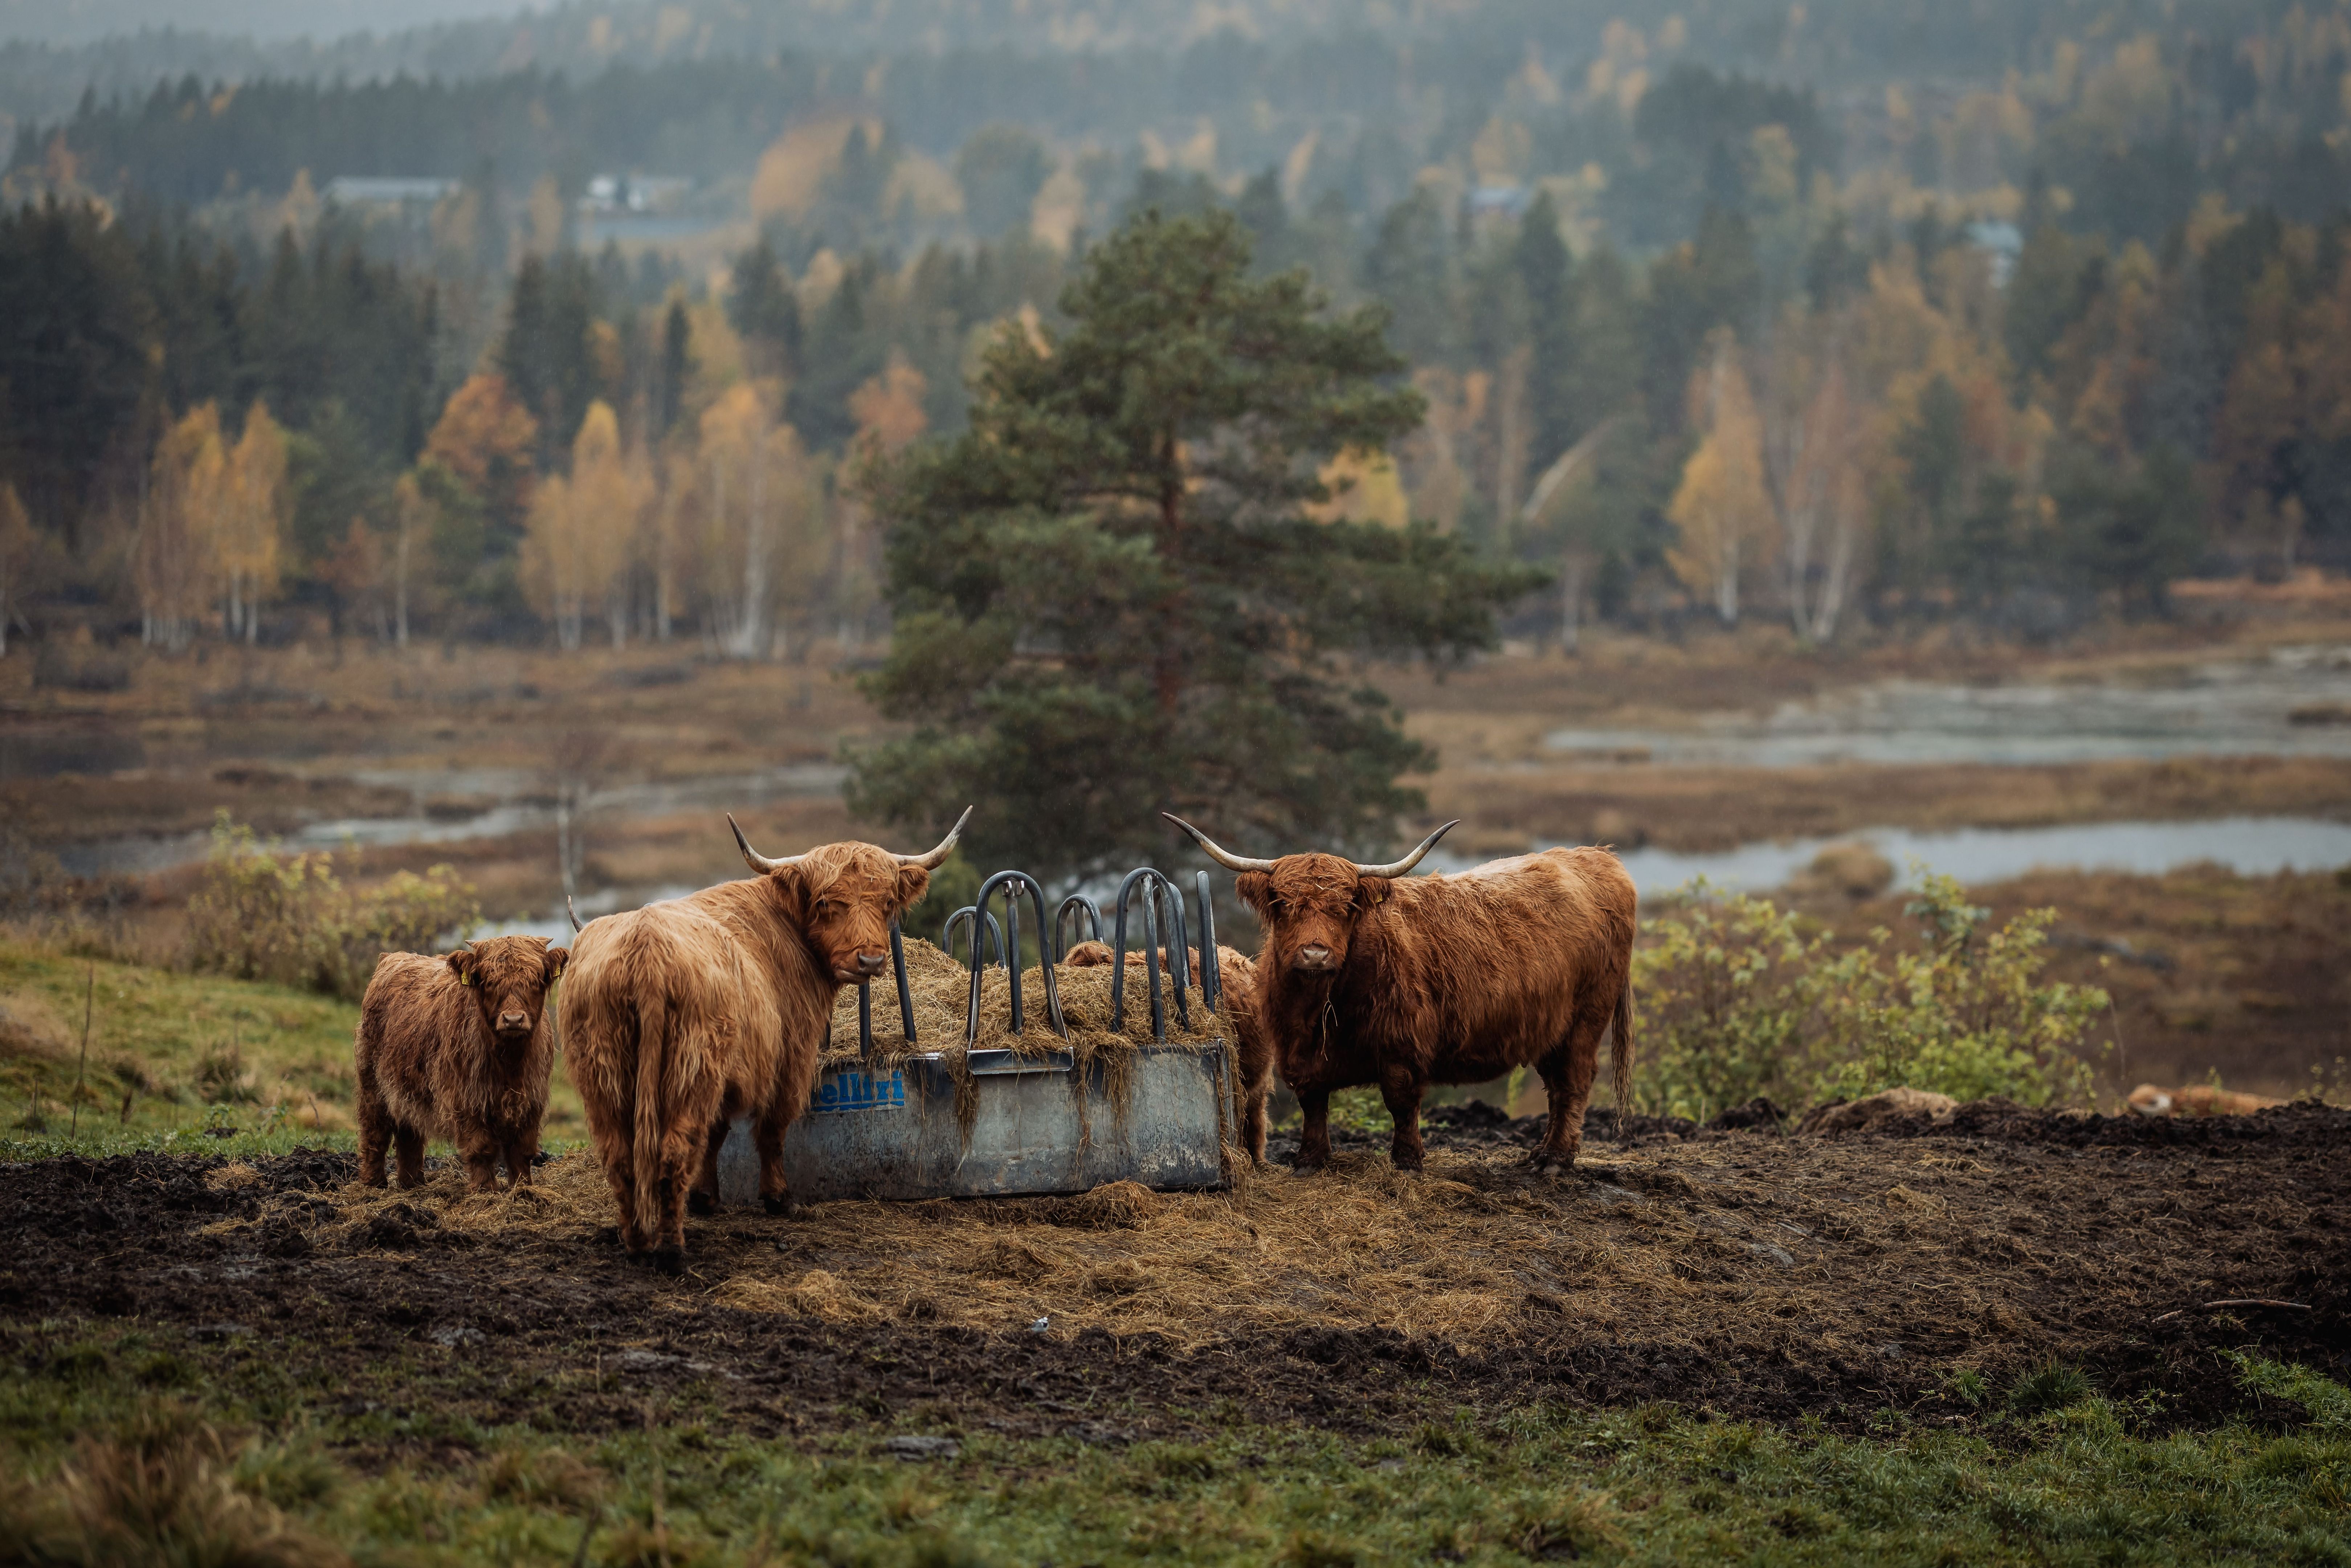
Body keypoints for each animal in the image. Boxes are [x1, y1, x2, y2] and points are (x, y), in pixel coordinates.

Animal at [354, 935, 569, 1193]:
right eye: (489, 981)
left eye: (536, 980)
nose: (513, 1020)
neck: (509, 1062)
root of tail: (394, 957)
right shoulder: (468, 1100)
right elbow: (481, 1148)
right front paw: (486, 1190)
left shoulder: (531, 1101)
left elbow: (521, 1151)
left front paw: (523, 1188)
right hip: (372, 1083)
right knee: (374, 1131)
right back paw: (373, 1184)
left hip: (407, 1087)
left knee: (409, 1133)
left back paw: (413, 1184)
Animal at [559, 810, 966, 1272]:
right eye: (826, 903)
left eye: (887, 903)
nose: (871, 959)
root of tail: (646, 948)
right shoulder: (791, 1053)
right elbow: (773, 1127)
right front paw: (777, 1198)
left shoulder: (730, 1072)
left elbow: (719, 1132)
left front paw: (706, 1197)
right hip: (690, 1071)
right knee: (673, 1152)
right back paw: (671, 1249)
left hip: (604, 1076)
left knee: (621, 1156)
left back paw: (635, 1242)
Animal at [1164, 814, 1637, 1174]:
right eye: (1284, 904)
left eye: (1345, 908)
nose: (1315, 953)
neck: (1322, 1007)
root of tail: (1595, 856)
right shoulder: (1295, 1050)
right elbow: (1312, 1101)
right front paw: (1310, 1160)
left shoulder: (1402, 1046)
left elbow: (1401, 1101)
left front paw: (1407, 1160)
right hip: (1549, 1028)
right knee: (1557, 1086)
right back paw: (1540, 1153)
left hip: (1586, 1018)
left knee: (1574, 1081)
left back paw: (1555, 1159)